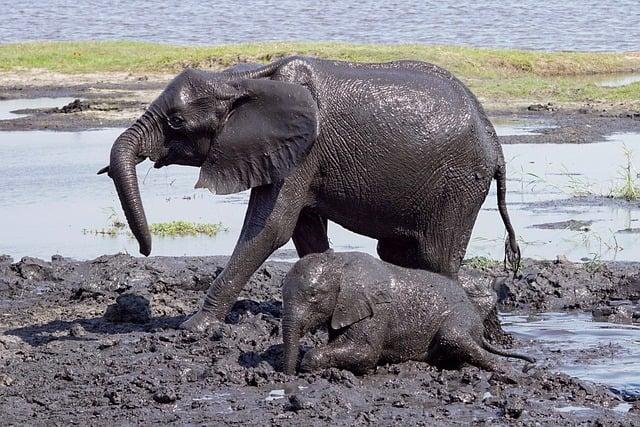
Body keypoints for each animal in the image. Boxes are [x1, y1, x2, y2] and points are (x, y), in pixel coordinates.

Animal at [100, 55, 520, 332]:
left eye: (176, 122)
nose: (145, 250)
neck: (240, 79)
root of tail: (496, 146)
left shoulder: (304, 150)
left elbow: (270, 229)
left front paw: (193, 326)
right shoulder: (287, 152)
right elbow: (305, 232)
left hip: (458, 185)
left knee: (436, 259)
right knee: (403, 254)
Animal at [282, 251, 532, 374]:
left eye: (314, 295)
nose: (287, 376)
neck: (342, 263)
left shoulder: (376, 310)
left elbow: (365, 353)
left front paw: (306, 366)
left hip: (462, 316)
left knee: (452, 335)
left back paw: (508, 374)